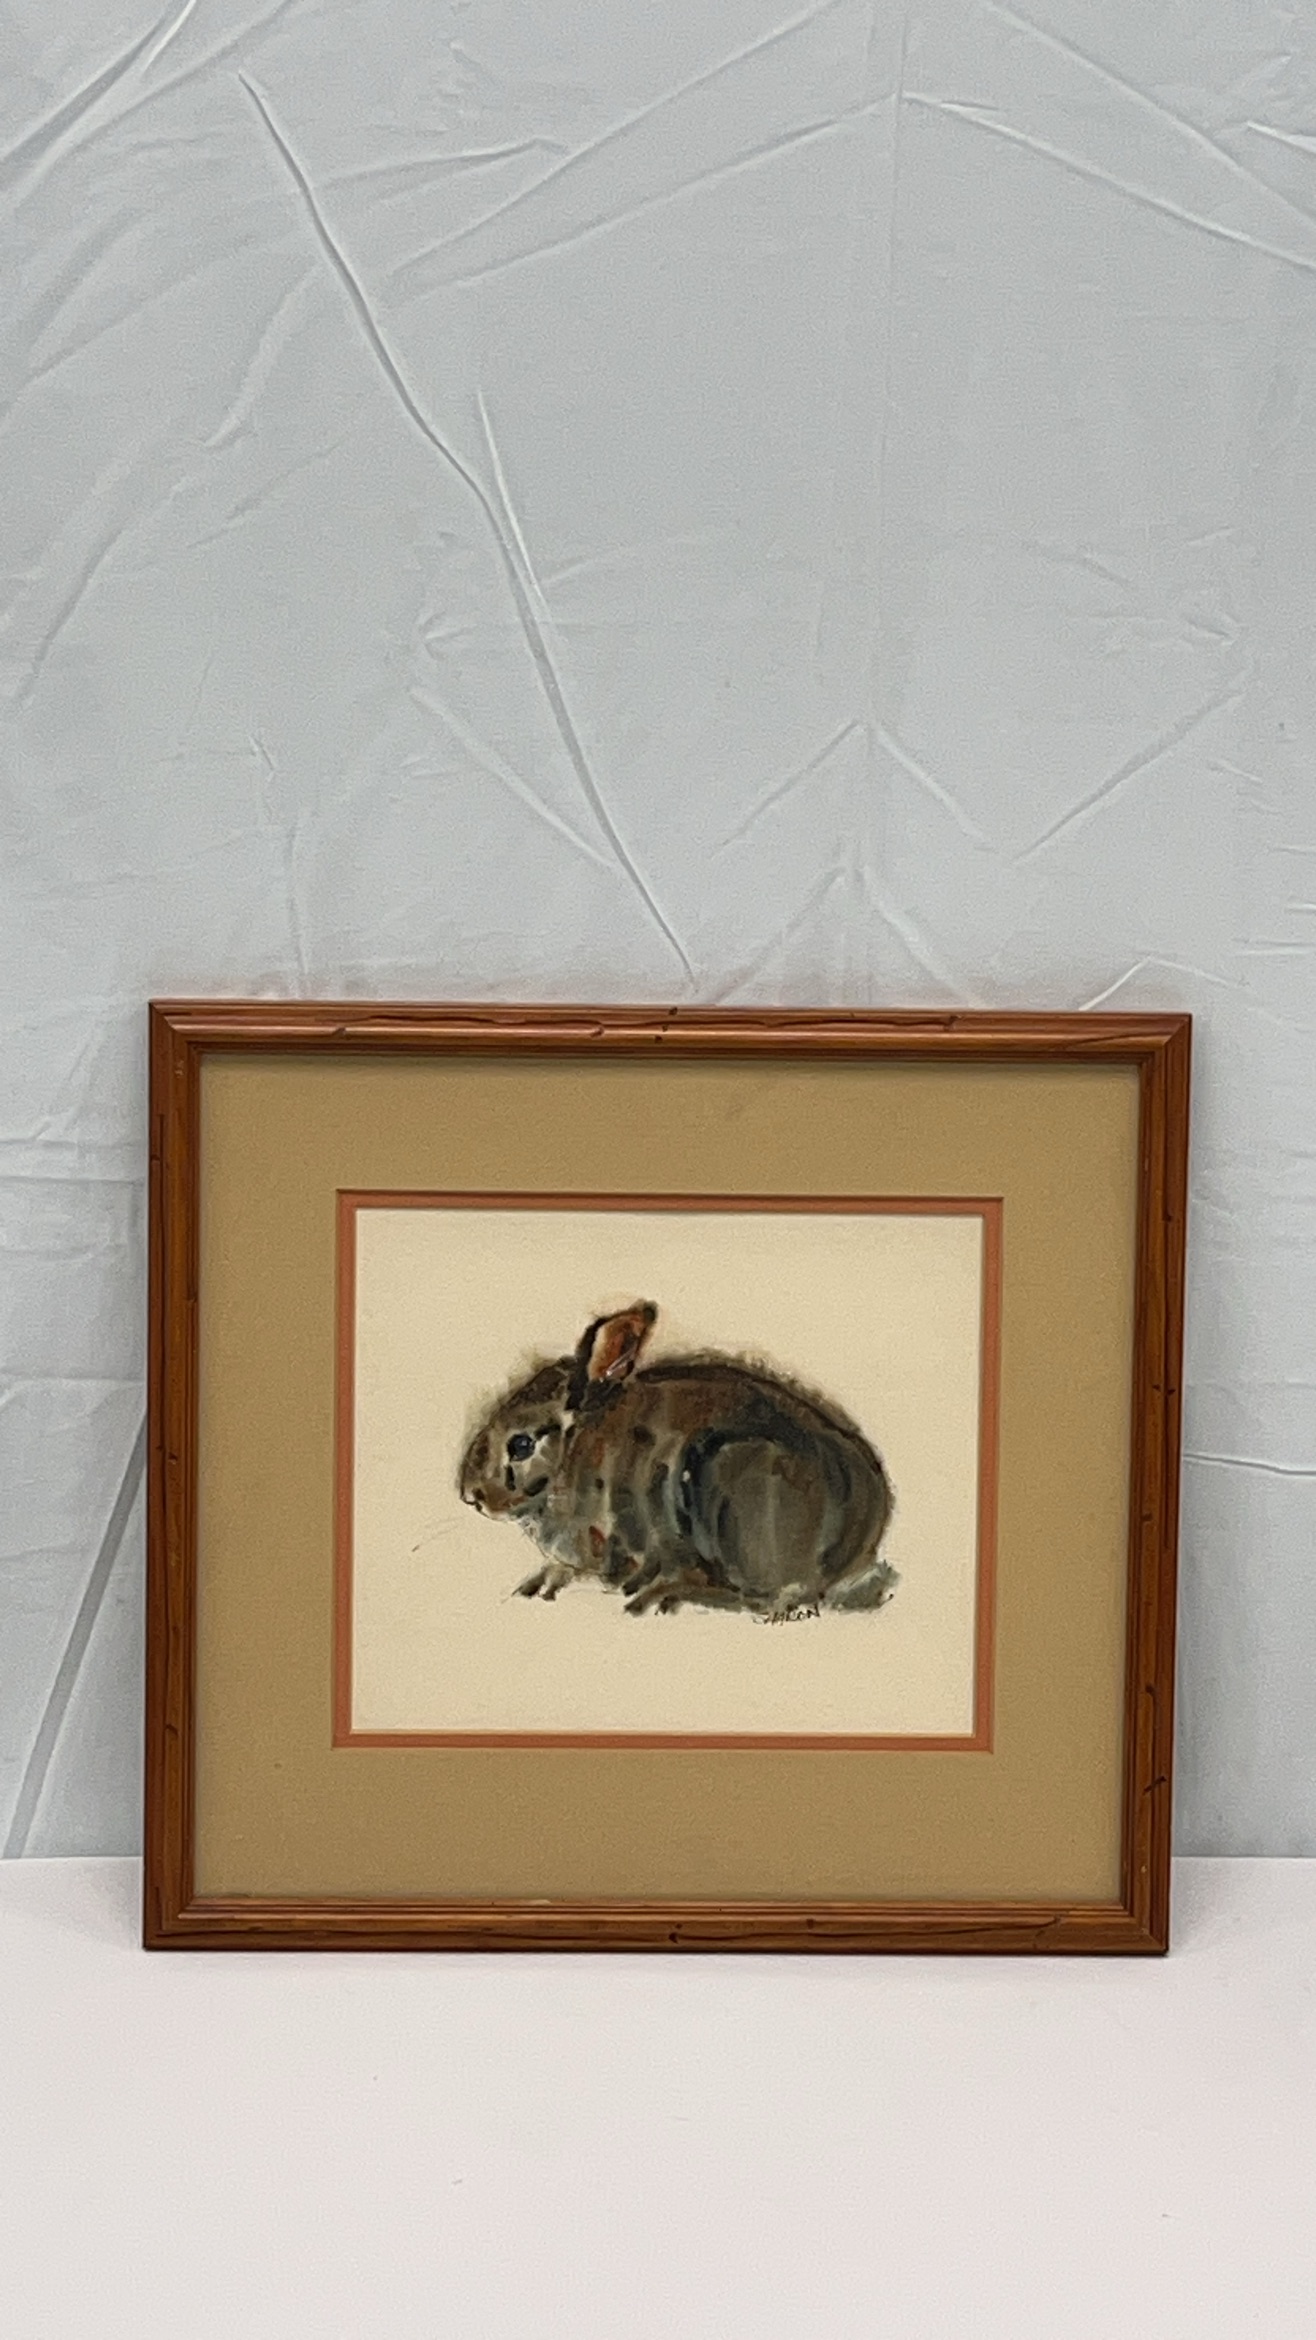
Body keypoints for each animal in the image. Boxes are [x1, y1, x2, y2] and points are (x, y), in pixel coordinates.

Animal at [457, 1301, 897, 1619]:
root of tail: (856, 1543)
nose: (470, 1495)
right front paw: (537, 1583)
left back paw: (659, 1596)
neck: (570, 1452)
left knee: (756, 1596)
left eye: (521, 1445)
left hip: (730, 1481)